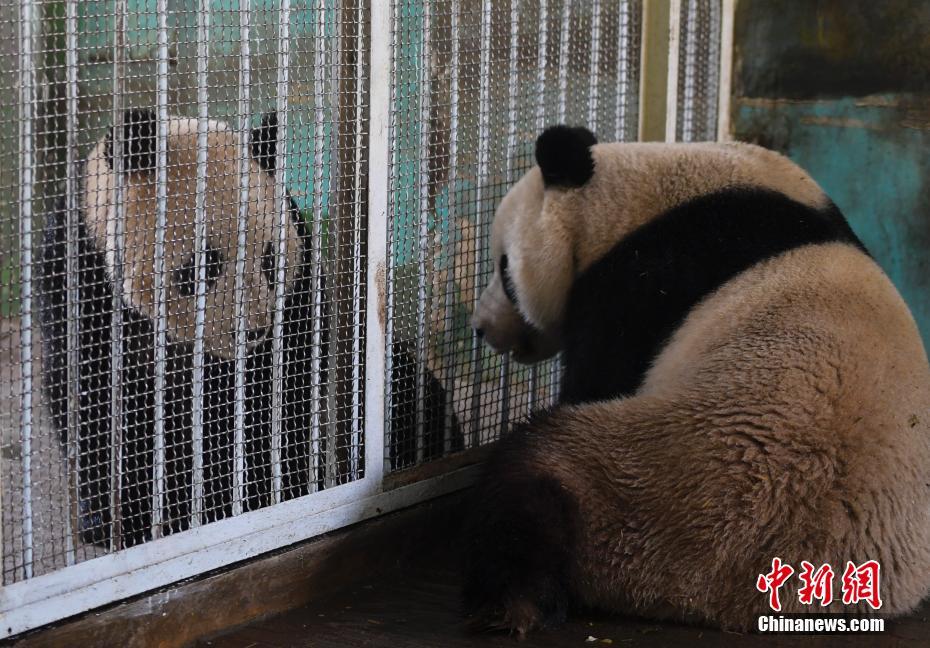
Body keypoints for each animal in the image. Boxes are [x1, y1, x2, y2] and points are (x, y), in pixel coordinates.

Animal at [40, 110, 320, 548]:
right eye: (204, 265)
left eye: (269, 260)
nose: (253, 332)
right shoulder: (81, 279)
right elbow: (95, 400)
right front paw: (123, 520)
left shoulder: (296, 296)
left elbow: (281, 393)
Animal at [468, 124, 928, 636]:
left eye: (504, 269)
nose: (481, 327)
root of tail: (717, 599)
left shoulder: (644, 279)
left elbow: (600, 374)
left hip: (650, 483)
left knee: (532, 472)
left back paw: (516, 599)